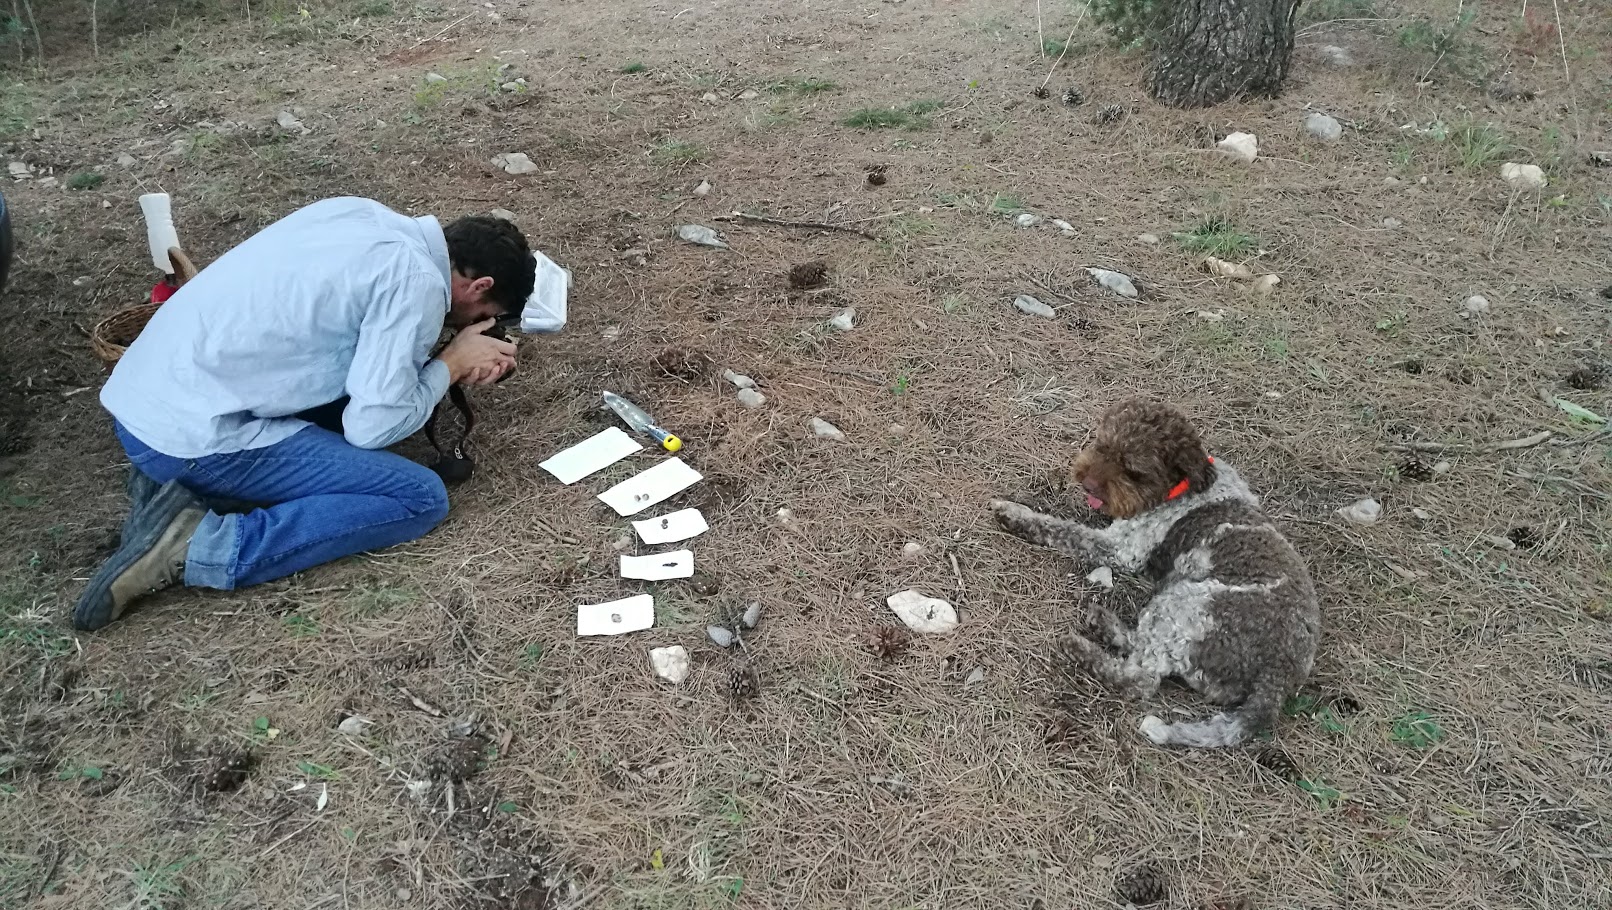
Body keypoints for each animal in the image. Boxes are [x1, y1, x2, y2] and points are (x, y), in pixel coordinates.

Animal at [986, 396, 1315, 744]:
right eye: (1102, 445)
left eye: (1134, 471)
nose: (1087, 484)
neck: (1178, 488)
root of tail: (1277, 674)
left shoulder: (1122, 549)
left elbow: (1063, 529)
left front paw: (1014, 513)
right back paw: (1104, 623)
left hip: (1188, 603)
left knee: (1140, 680)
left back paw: (1082, 648)